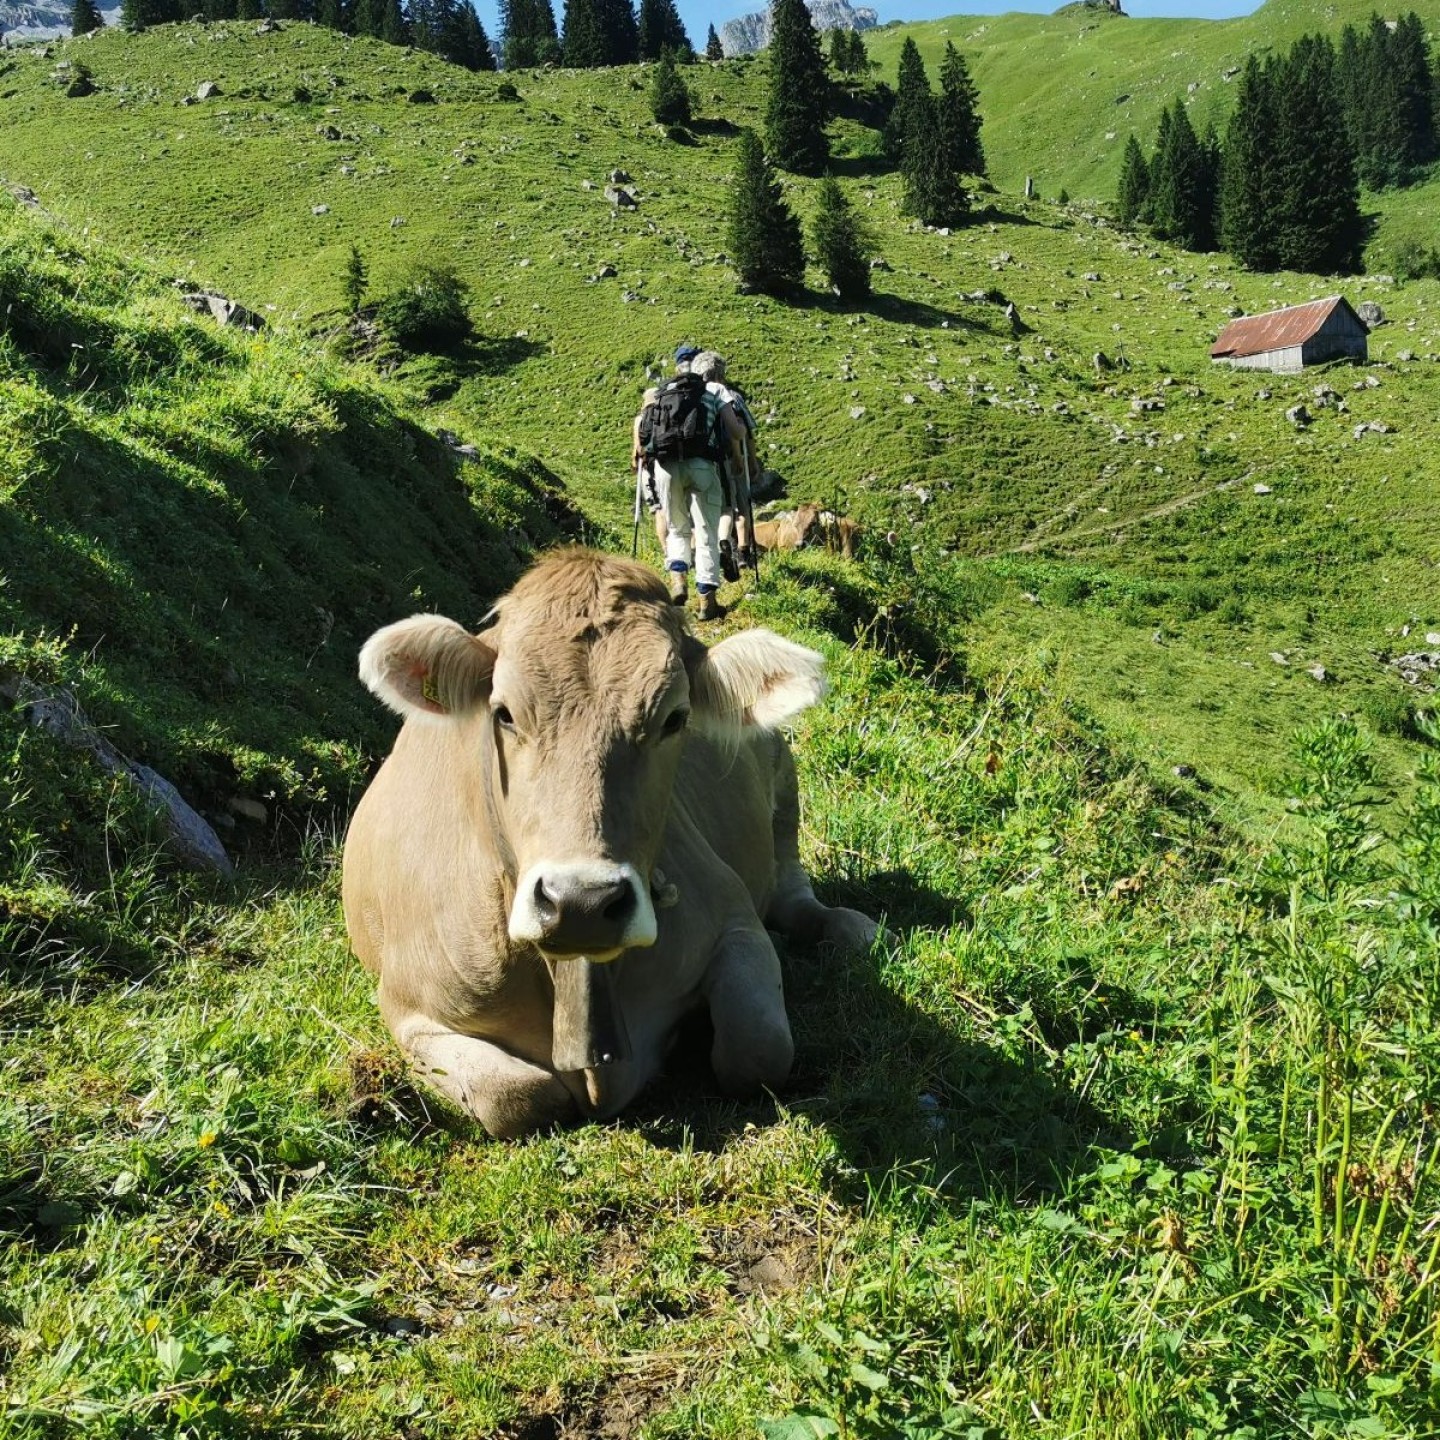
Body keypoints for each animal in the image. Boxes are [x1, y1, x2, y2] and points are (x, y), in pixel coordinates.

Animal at [342, 548, 879, 1138]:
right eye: (503, 713)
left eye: (676, 717)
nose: (581, 903)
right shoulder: (408, 1007)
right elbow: (517, 1097)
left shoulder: (734, 920)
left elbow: (759, 1049)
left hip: (782, 774)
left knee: (791, 884)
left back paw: (847, 926)